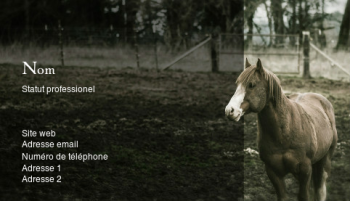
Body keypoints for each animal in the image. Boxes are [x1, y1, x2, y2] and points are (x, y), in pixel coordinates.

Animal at [226, 58, 338, 201]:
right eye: (237, 84)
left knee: (320, 188)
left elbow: (304, 196)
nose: (230, 110)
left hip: (325, 160)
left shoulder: (305, 170)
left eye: (251, 85)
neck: (284, 134)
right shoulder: (273, 172)